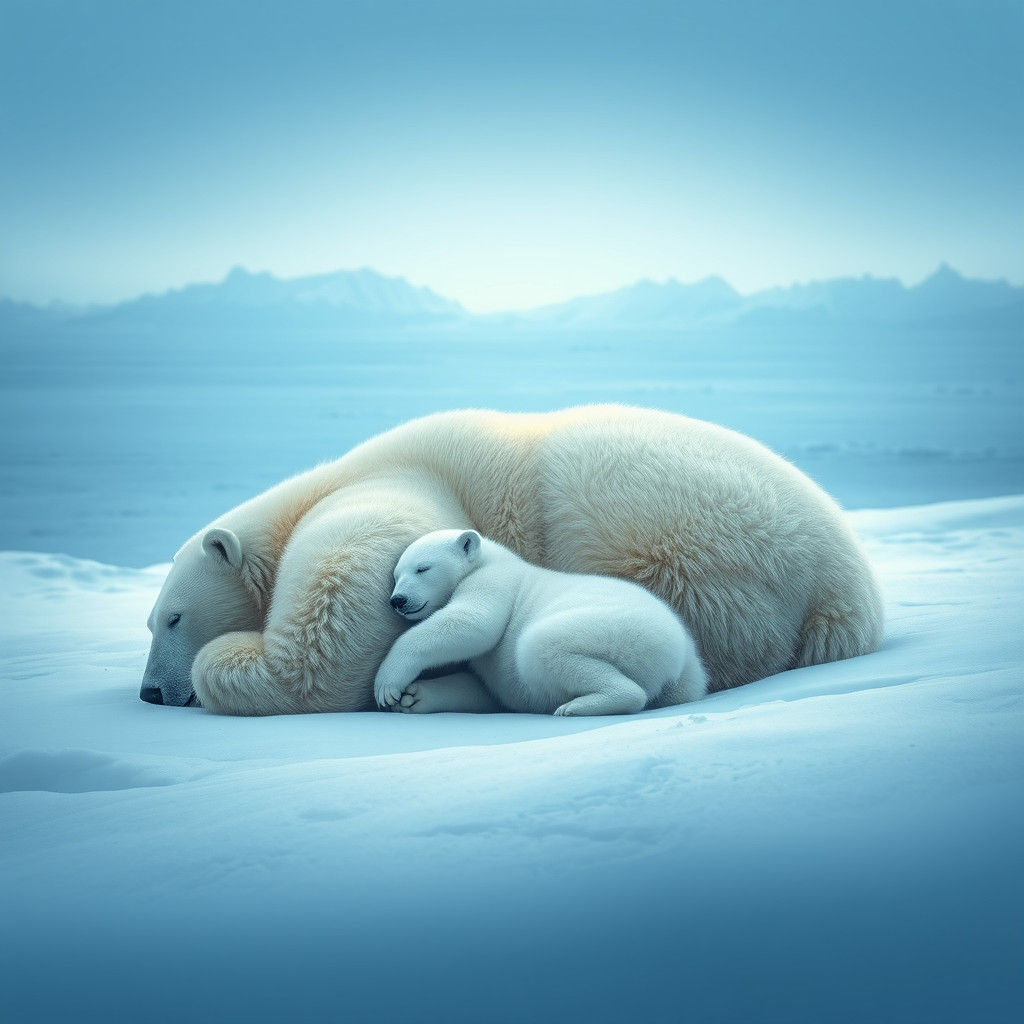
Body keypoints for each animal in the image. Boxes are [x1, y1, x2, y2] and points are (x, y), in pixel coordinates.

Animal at [374, 529, 708, 716]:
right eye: (396, 575)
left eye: (422, 568)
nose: (398, 600)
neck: (492, 557)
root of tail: (677, 658)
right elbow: (483, 690)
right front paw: (413, 697)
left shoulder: (493, 580)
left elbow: (474, 623)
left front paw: (388, 684)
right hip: (689, 678)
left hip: (621, 632)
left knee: (541, 646)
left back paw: (579, 706)